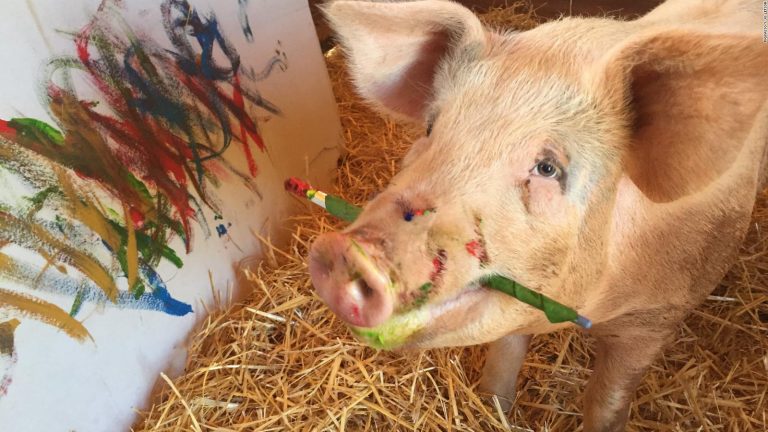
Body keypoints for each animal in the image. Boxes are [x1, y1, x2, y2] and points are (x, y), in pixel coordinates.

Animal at [307, 0, 768, 430]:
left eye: (547, 168)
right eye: (431, 128)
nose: (344, 251)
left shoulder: (655, 318)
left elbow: (606, 402)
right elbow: (503, 359)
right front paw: (495, 410)